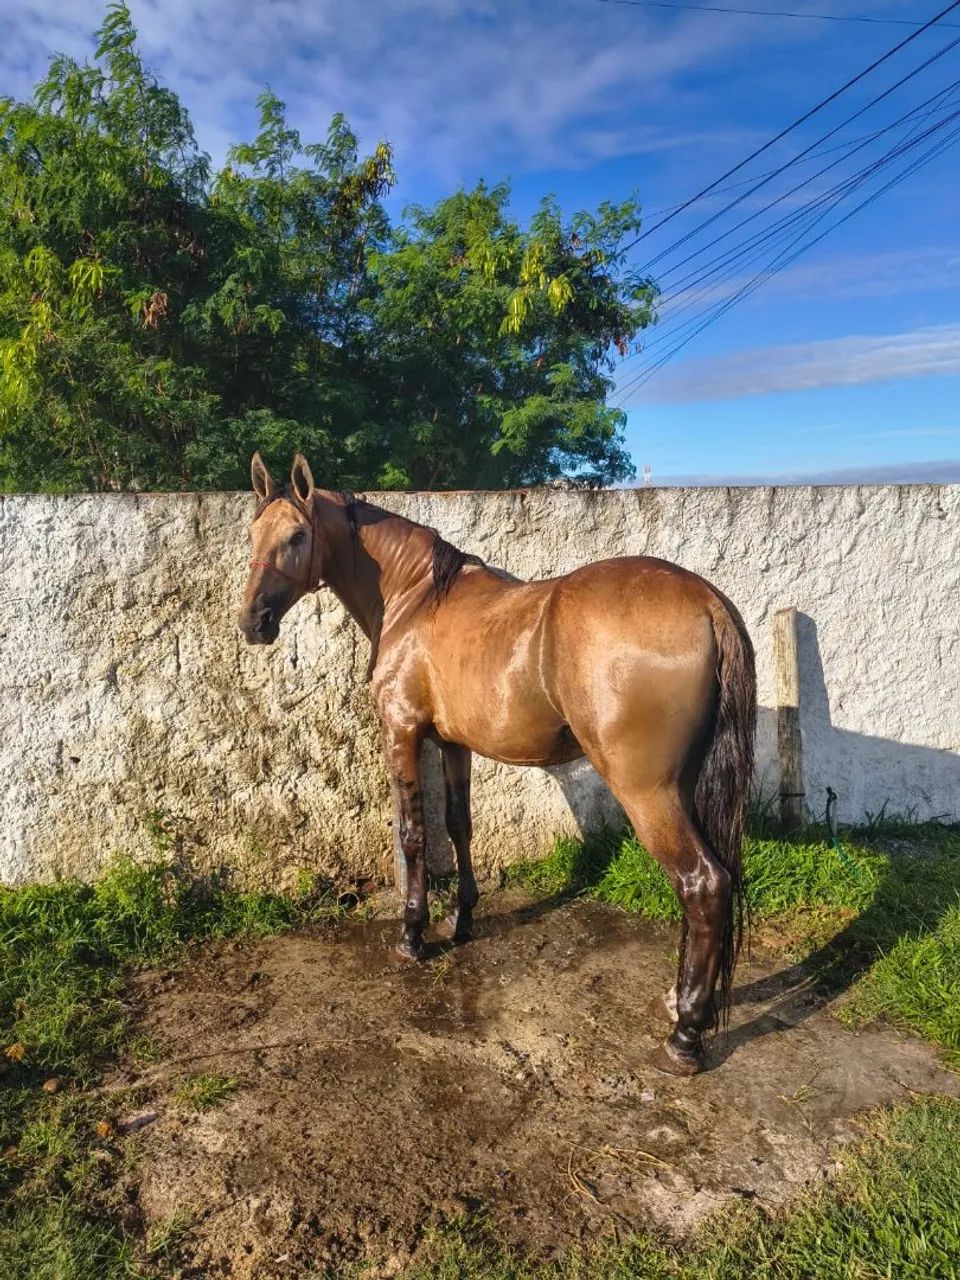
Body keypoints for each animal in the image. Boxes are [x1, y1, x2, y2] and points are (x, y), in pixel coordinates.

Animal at [238, 453, 756, 1075]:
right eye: (252, 533)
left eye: (296, 536)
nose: (252, 621)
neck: (415, 600)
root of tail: (706, 602)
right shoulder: (452, 744)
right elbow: (459, 827)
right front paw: (462, 922)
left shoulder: (402, 732)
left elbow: (414, 834)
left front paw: (413, 935)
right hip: (686, 786)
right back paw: (678, 1000)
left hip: (648, 792)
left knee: (702, 884)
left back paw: (686, 1035)